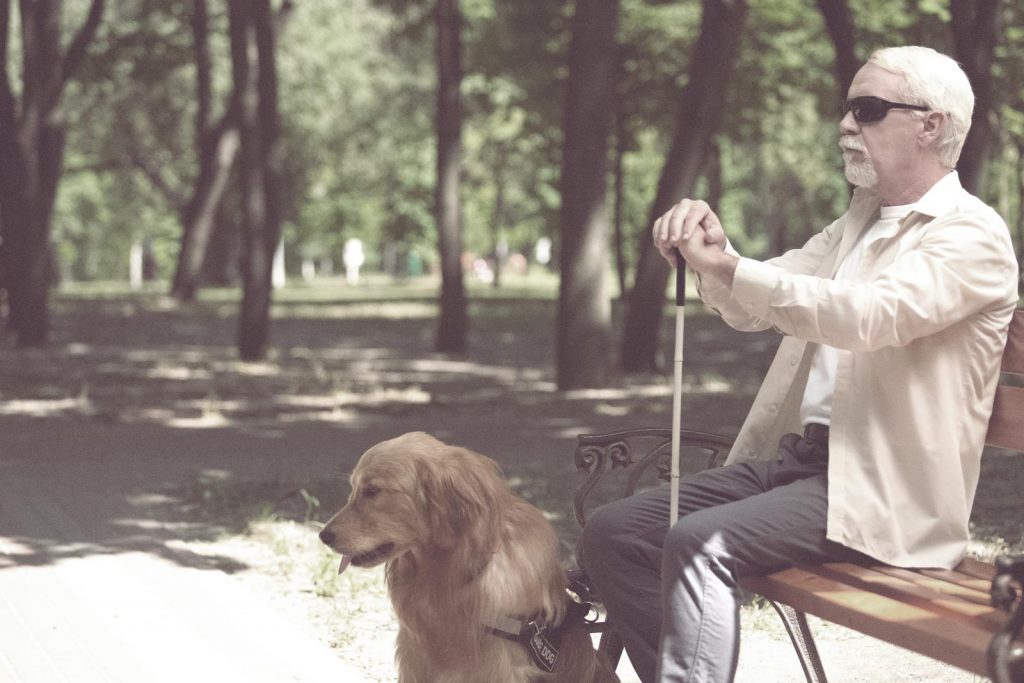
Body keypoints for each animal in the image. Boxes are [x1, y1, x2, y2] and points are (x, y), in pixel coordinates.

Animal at [315, 432, 614, 683]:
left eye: (373, 491)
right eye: (353, 488)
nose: (323, 536)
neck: (451, 572)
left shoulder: (496, 665)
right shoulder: (415, 657)